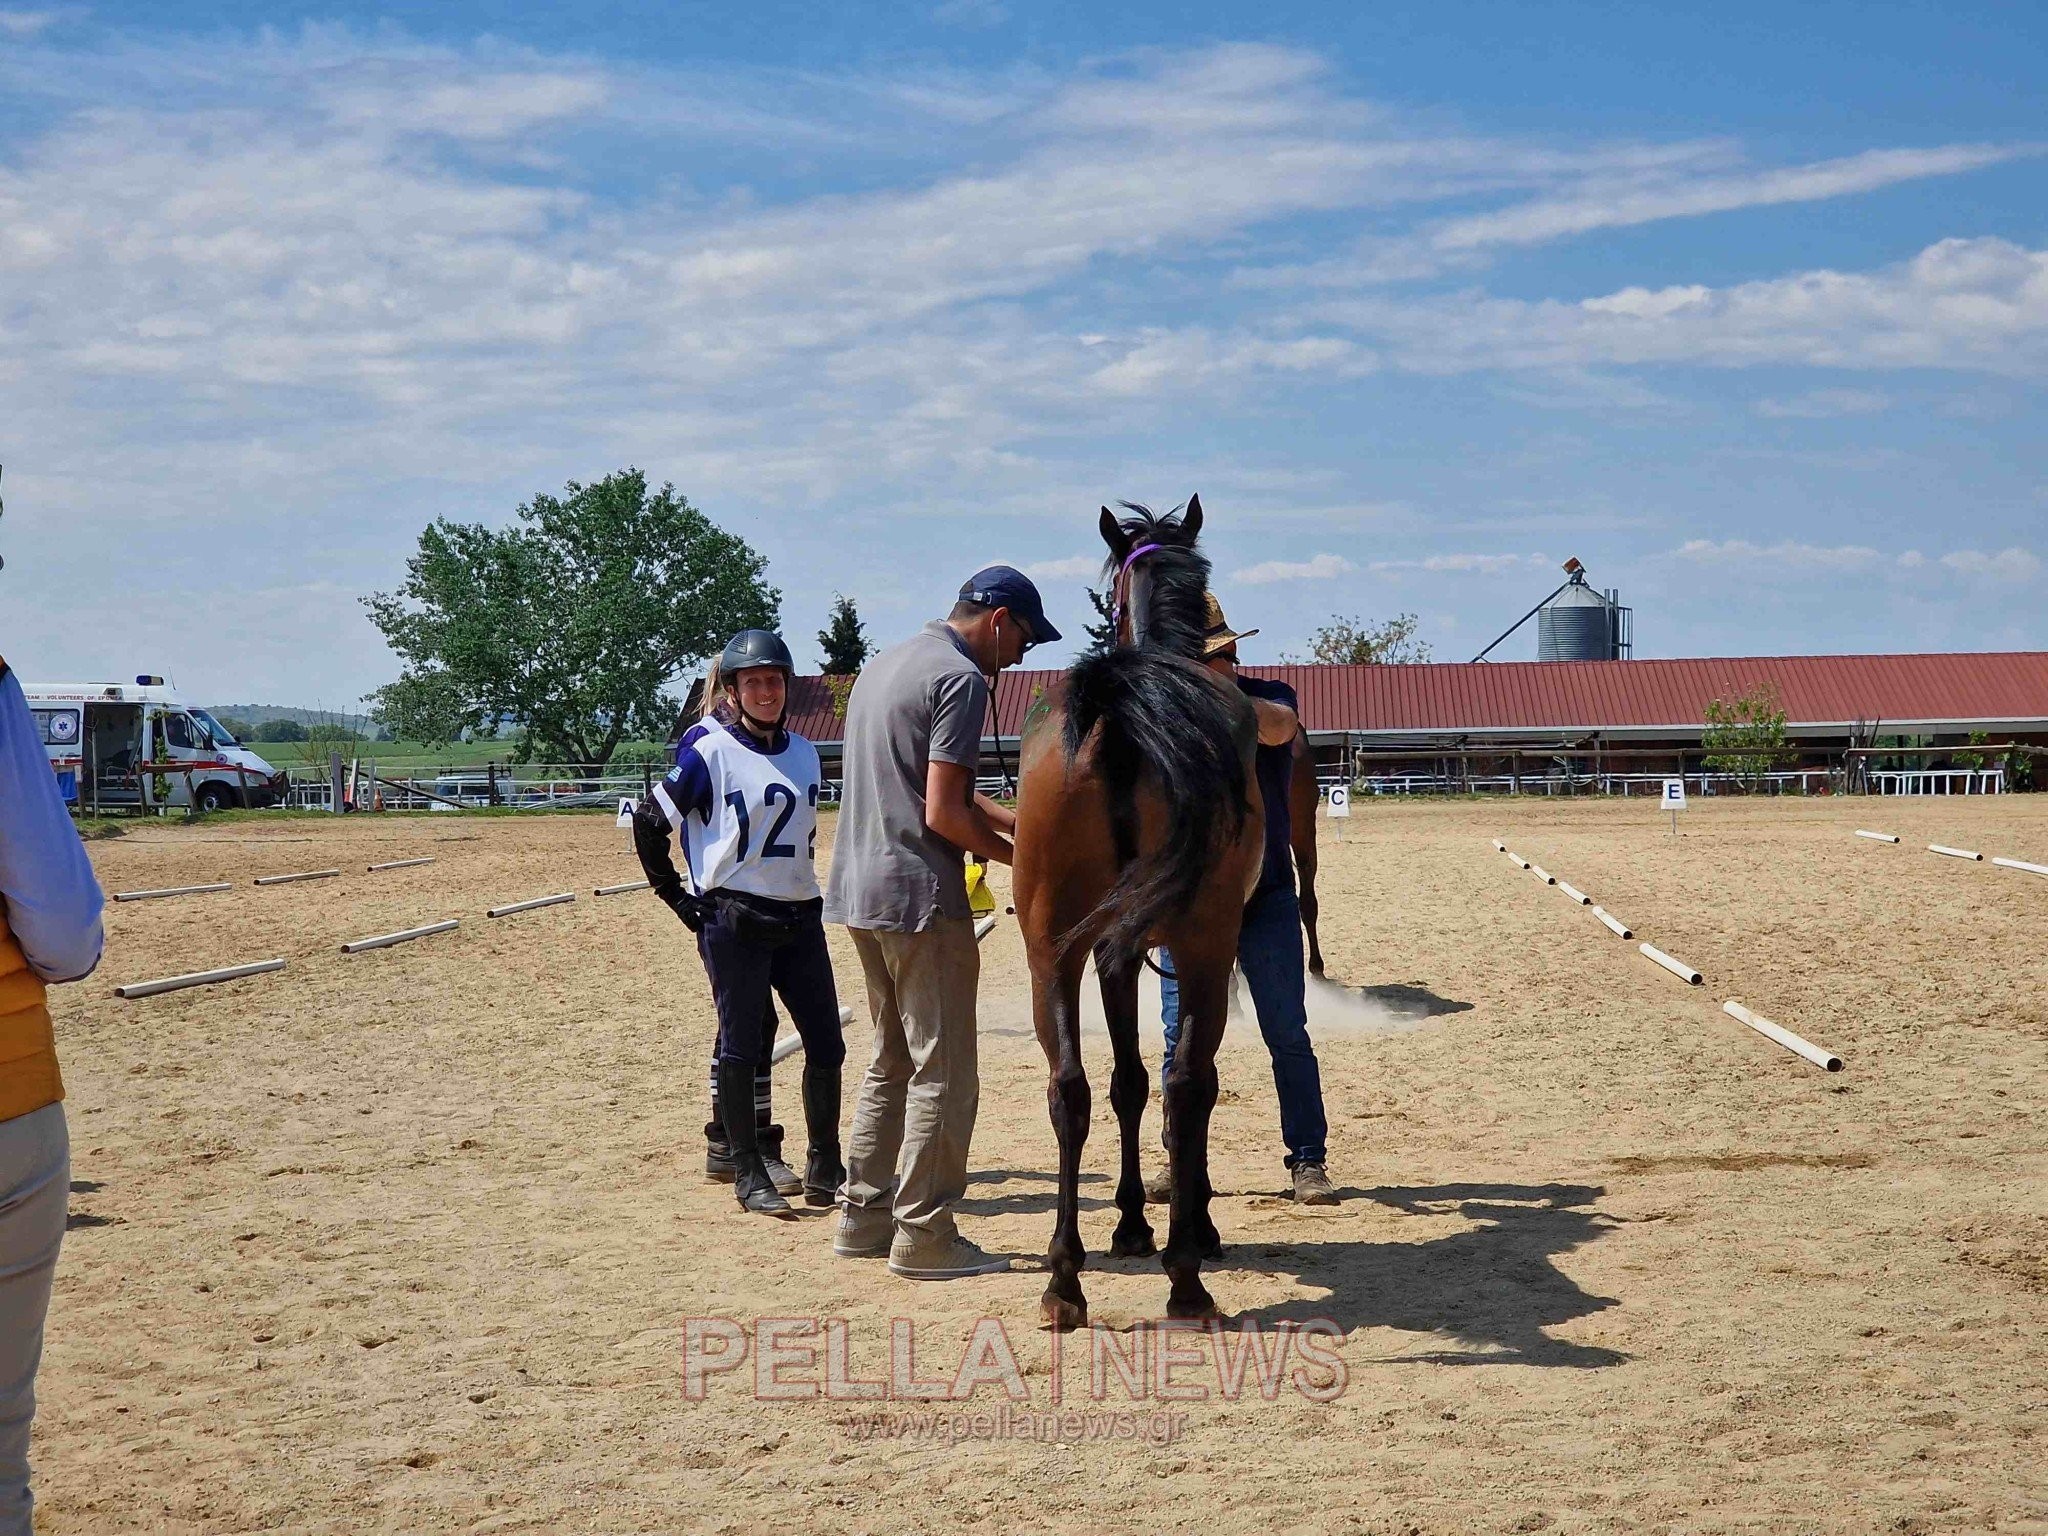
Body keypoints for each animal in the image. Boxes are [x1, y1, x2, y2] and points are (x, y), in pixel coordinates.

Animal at [1007, 501, 1261, 1327]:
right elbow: (1159, 1081)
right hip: (1205, 943)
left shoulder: (1108, 950)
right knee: (1190, 1083)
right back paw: (1186, 1273)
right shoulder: (1162, 949)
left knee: (1071, 1090)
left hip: (1051, 948)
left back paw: (1064, 1281)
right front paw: (1158, 1222)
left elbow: (1124, 1080)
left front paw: (1127, 1225)